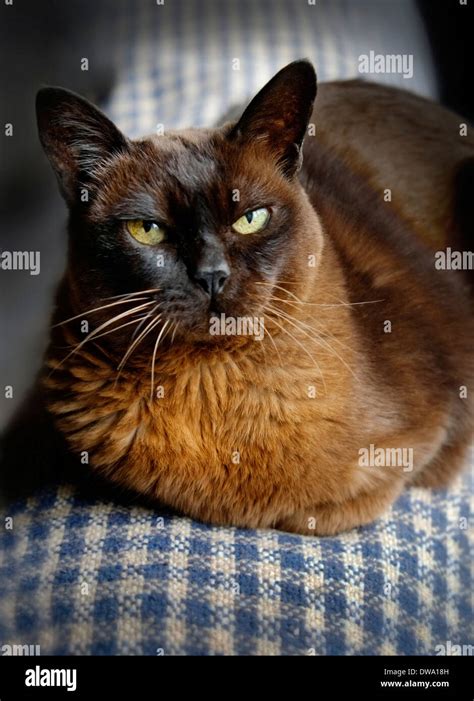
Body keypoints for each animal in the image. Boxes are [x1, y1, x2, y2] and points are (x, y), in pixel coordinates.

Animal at [1, 63, 472, 532]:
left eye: (251, 219)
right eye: (147, 230)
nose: (212, 275)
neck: (210, 387)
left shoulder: (423, 442)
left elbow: (323, 509)